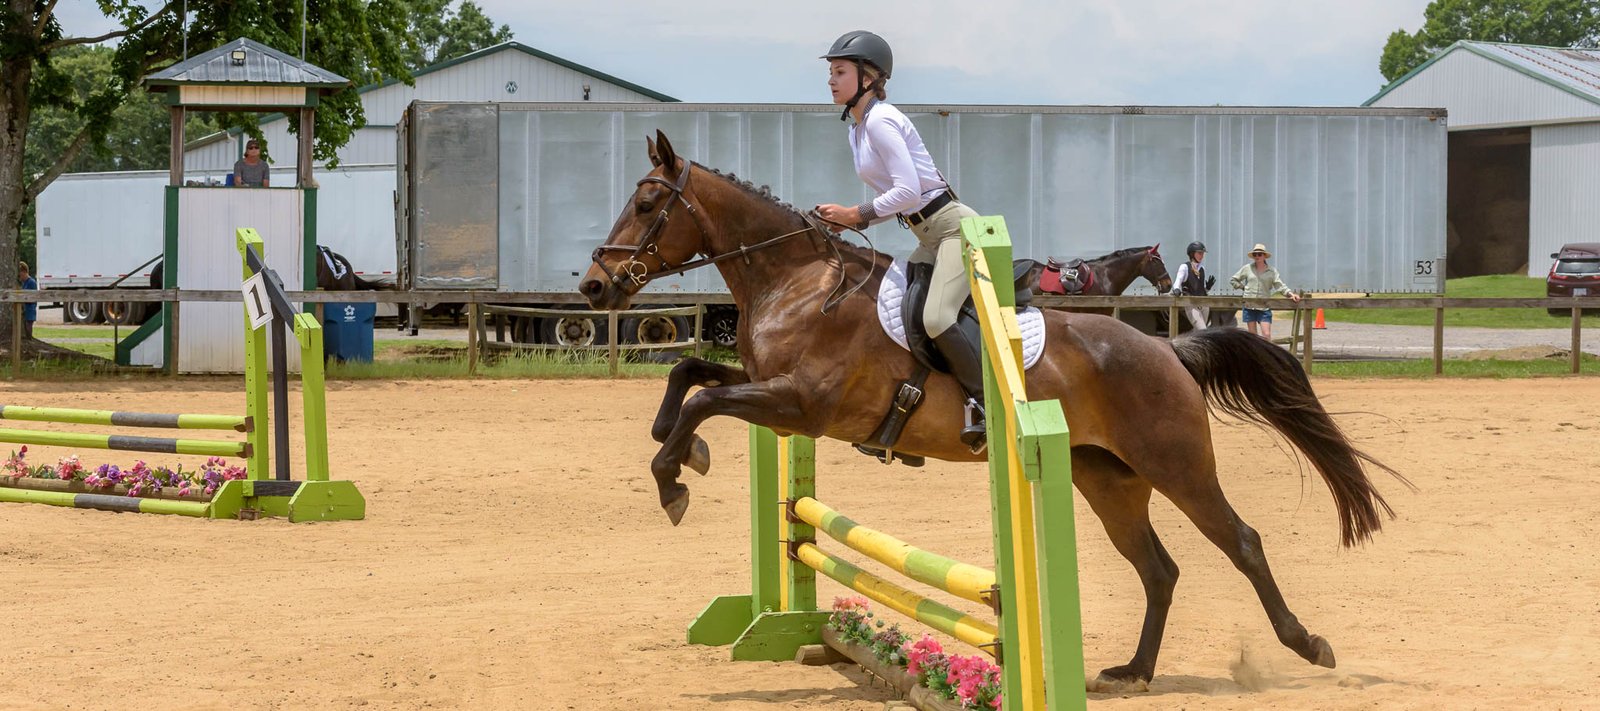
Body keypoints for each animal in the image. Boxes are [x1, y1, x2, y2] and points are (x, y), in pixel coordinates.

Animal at [582, 130, 1408, 691]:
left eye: (648, 202)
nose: (594, 286)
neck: (798, 280)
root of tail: (1166, 350)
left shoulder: (800, 405)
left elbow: (707, 397)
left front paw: (675, 476)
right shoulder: (776, 397)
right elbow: (691, 374)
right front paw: (675, 447)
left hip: (1177, 465)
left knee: (1240, 541)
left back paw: (1306, 645)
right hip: (1107, 479)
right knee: (1159, 568)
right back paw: (1131, 670)